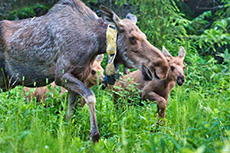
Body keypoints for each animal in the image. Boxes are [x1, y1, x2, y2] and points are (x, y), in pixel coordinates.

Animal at [0, 0, 169, 142]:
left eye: (144, 35)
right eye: (132, 38)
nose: (163, 66)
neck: (94, 43)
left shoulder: (76, 76)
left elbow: (70, 112)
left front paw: (67, 132)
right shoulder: (61, 75)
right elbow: (90, 96)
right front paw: (93, 135)